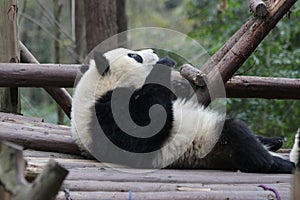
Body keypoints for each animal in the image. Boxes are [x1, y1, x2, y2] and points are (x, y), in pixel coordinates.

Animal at [71, 47, 296, 173]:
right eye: (135, 56)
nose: (154, 52)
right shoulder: (104, 113)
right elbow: (142, 133)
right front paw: (164, 64)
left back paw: (274, 141)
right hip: (212, 145)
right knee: (237, 134)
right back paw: (278, 164)